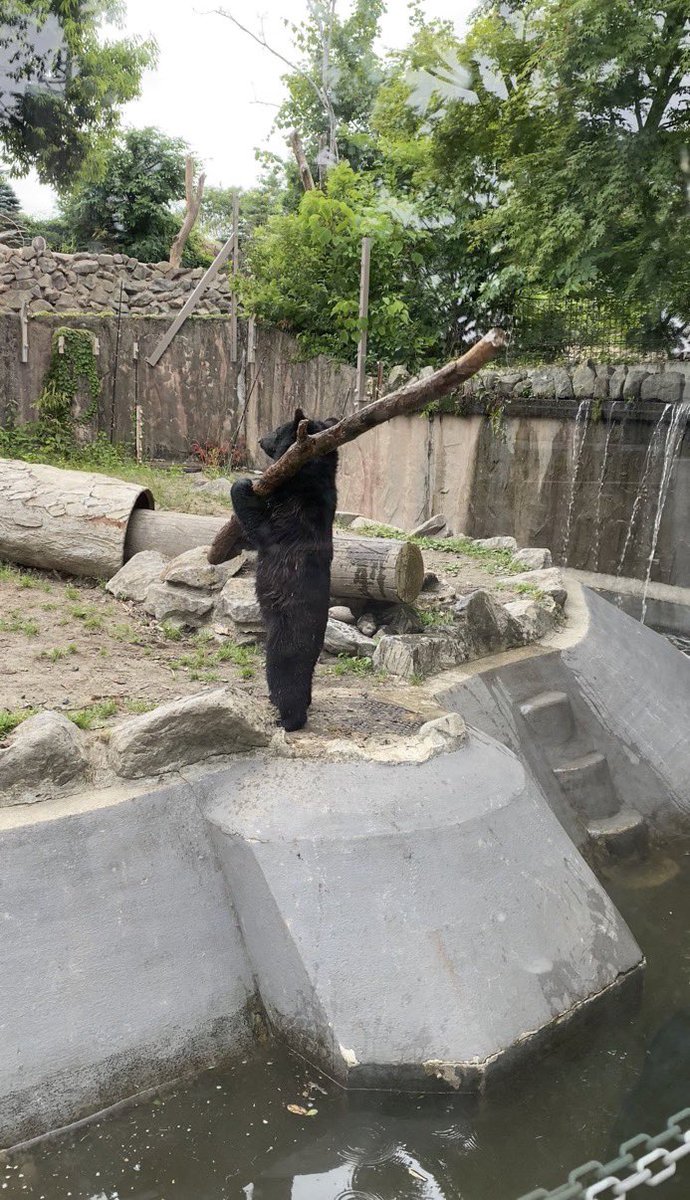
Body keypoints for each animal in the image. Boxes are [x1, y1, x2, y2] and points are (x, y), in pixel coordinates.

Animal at [229, 408, 339, 732]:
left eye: (277, 429)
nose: (260, 440)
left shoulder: (291, 514)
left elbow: (259, 527)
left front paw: (241, 485)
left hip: (284, 643)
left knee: (283, 679)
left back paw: (286, 718)